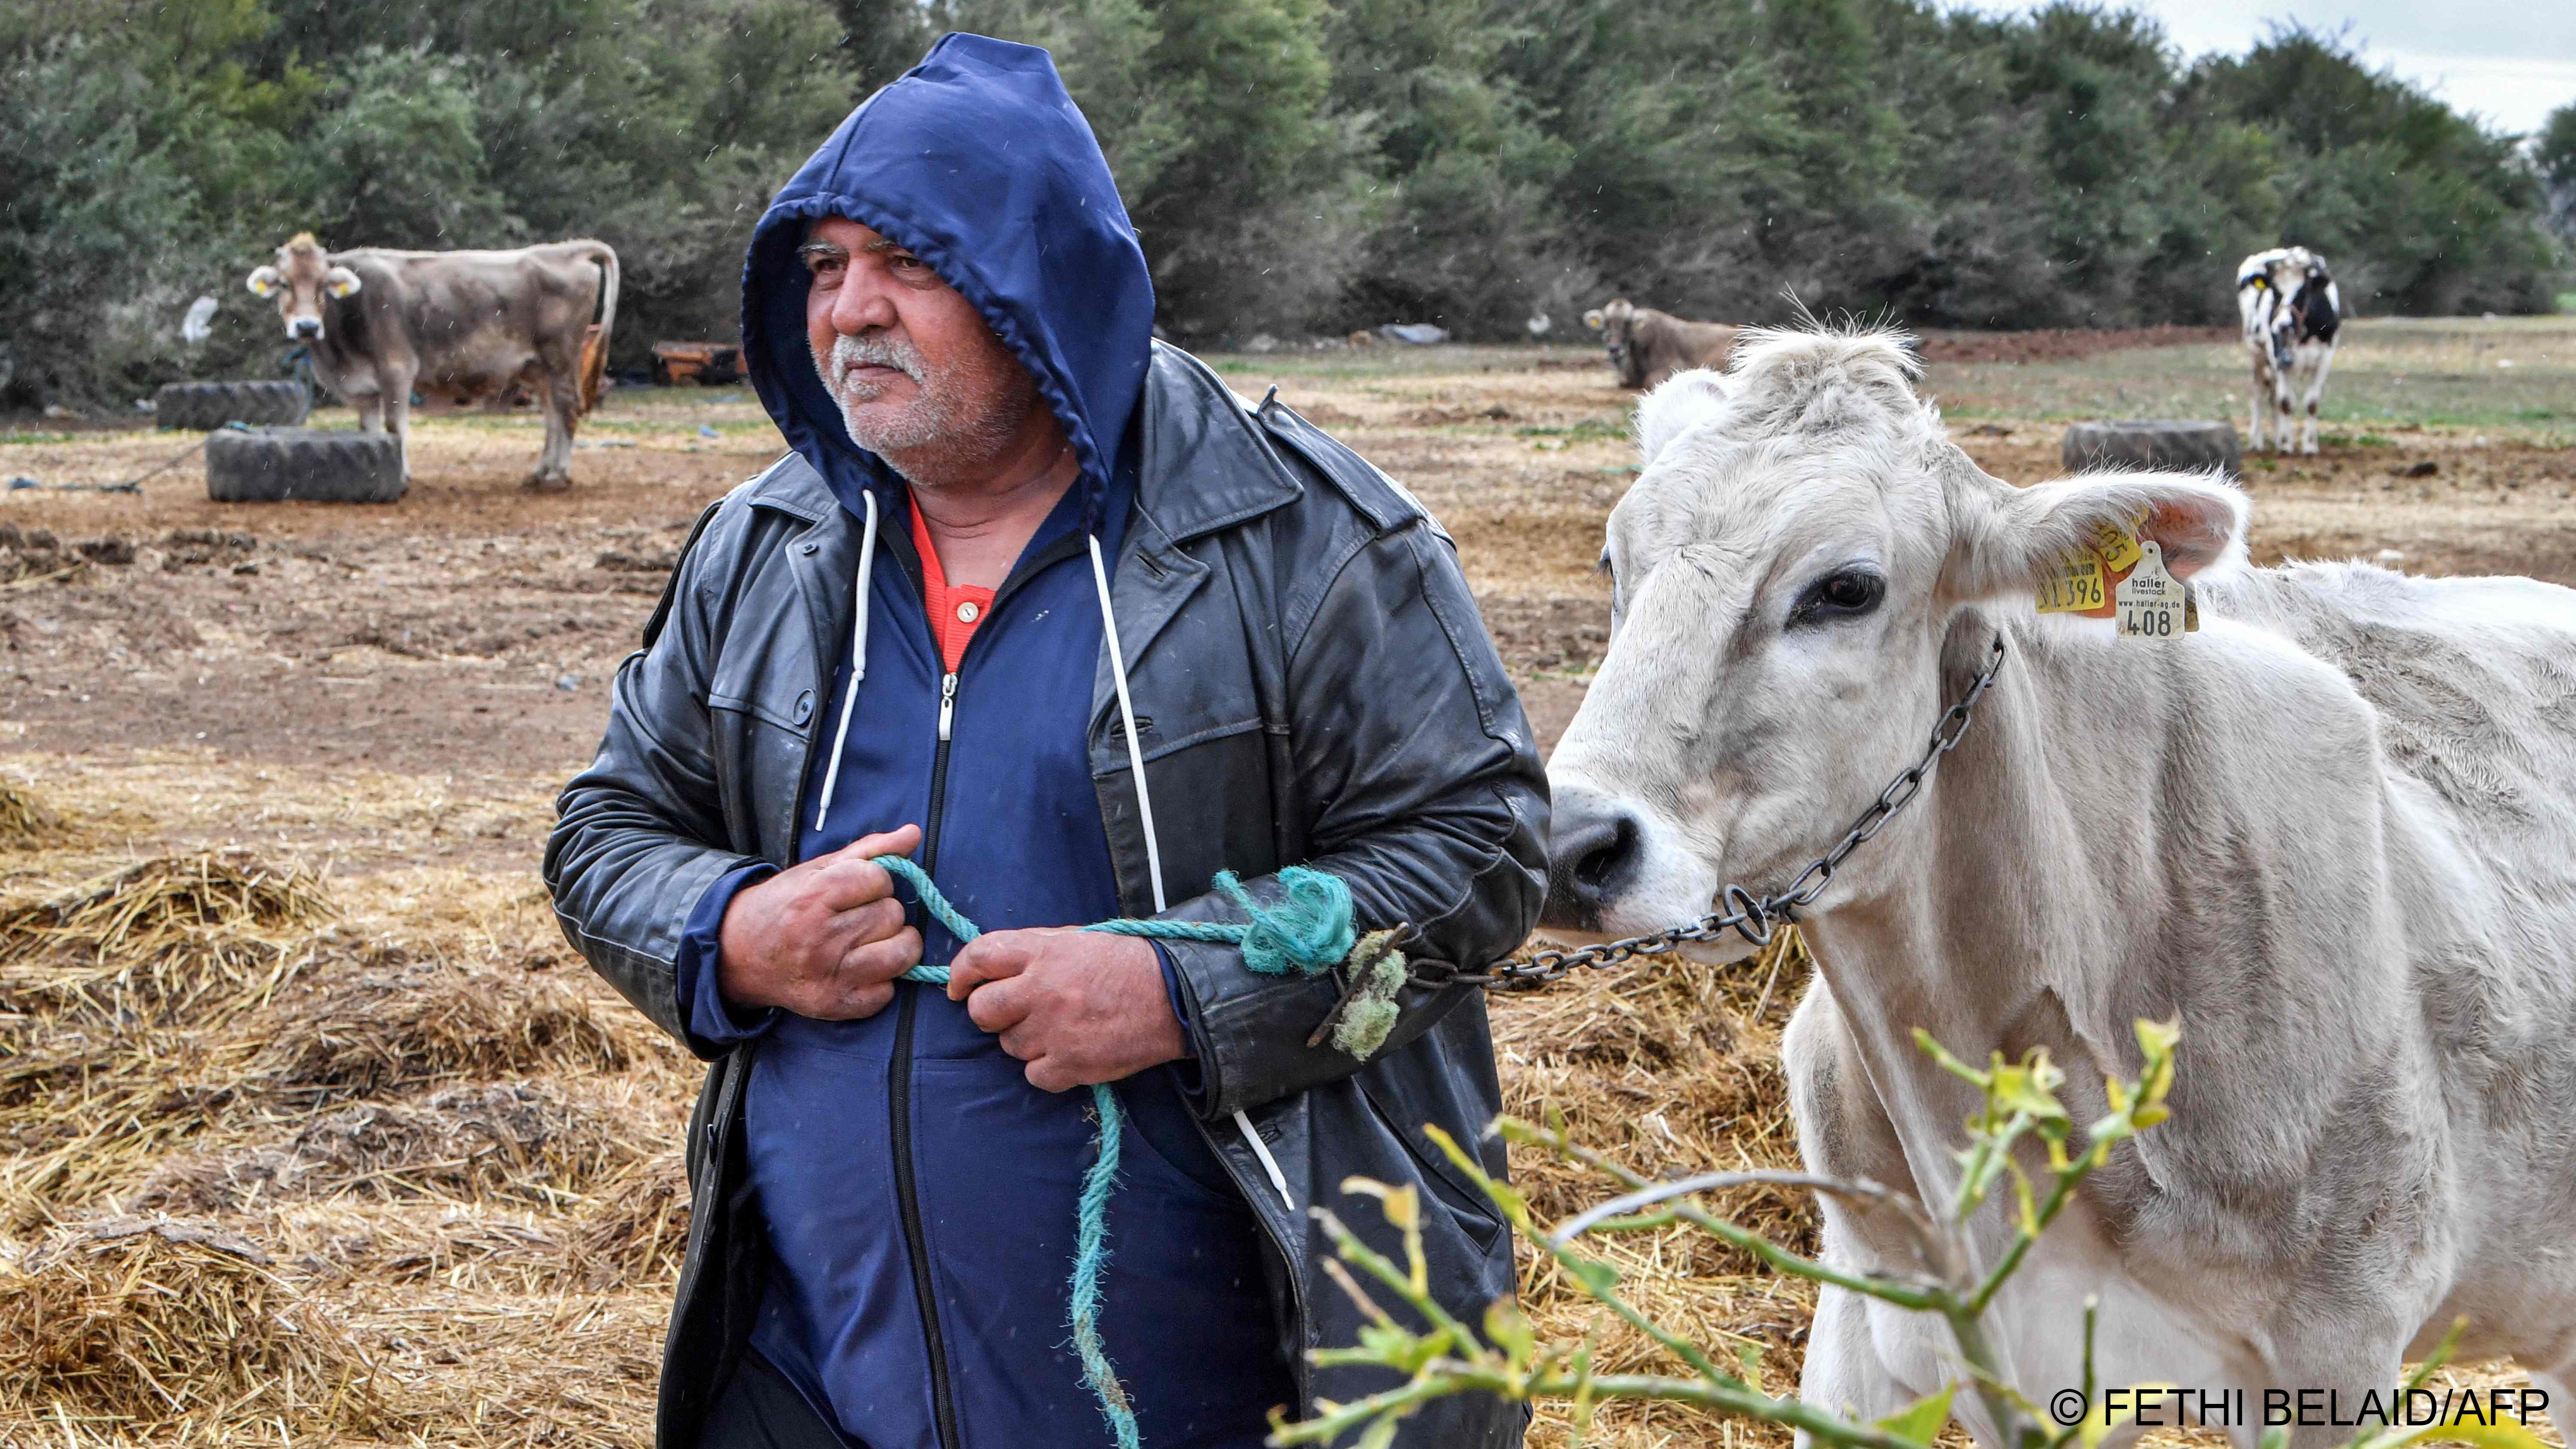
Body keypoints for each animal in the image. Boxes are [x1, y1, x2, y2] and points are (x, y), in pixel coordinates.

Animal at [246, 232, 618, 490]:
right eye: (284, 283)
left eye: (324, 284)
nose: (307, 326)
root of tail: (563, 250)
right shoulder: (363, 389)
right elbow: (369, 434)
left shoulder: (397, 370)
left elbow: (395, 428)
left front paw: (402, 476)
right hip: (538, 369)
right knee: (552, 415)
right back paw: (541, 473)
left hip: (562, 358)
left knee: (567, 410)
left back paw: (559, 475)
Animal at [2236, 245, 2339, 453]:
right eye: (2274, 291)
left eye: (2303, 291)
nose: (2282, 325)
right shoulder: (2278, 356)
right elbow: (2285, 402)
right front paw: (2285, 444)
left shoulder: (2326, 356)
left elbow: (2312, 403)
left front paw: (2310, 446)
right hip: (2257, 353)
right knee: (2260, 394)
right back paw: (2258, 441)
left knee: (2273, 397)